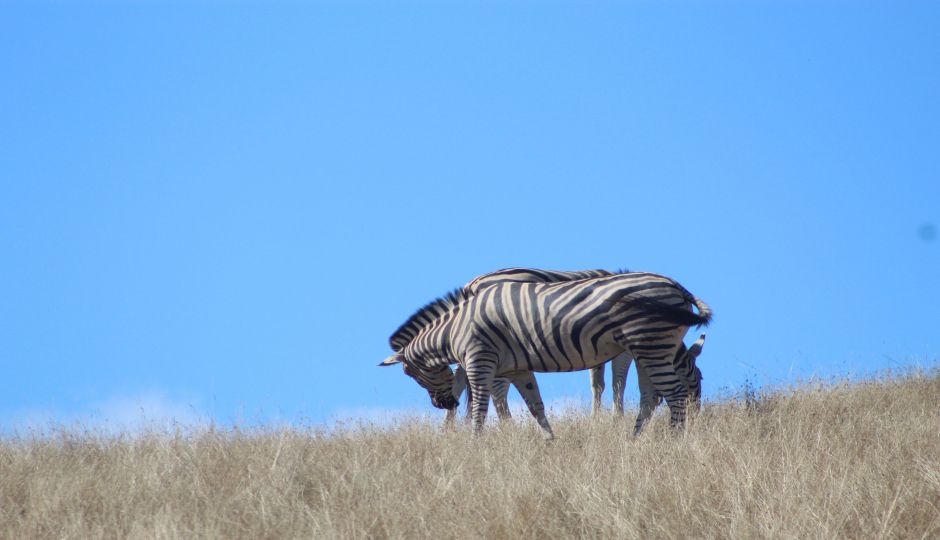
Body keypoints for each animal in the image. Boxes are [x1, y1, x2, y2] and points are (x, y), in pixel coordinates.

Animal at [382, 272, 712, 440]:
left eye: (411, 375)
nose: (443, 405)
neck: (455, 327)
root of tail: (678, 287)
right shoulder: (516, 369)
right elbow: (536, 406)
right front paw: (550, 442)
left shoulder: (480, 361)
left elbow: (479, 409)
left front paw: (475, 444)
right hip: (651, 346)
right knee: (655, 395)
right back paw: (637, 441)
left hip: (648, 343)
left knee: (673, 393)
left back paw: (673, 442)